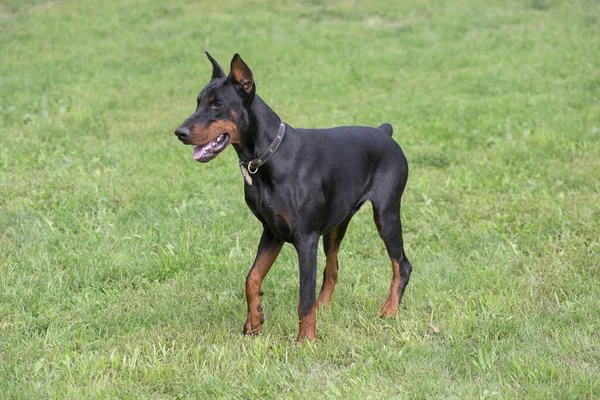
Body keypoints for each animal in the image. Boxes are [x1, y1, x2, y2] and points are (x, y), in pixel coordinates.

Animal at [175, 53, 412, 344]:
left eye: (217, 104)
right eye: (198, 101)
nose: (180, 132)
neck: (269, 156)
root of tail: (384, 131)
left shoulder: (306, 238)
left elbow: (304, 297)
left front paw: (306, 341)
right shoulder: (272, 231)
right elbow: (252, 278)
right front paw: (254, 322)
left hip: (386, 213)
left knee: (401, 264)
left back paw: (389, 310)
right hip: (337, 223)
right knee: (333, 268)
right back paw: (326, 308)